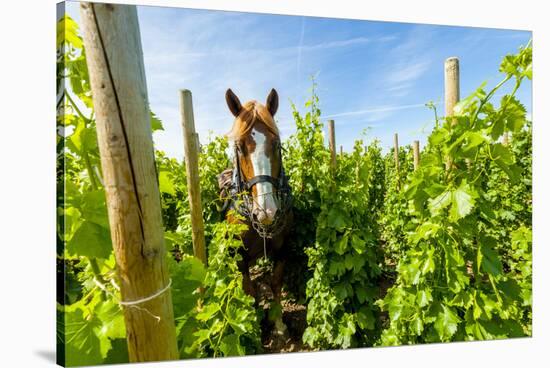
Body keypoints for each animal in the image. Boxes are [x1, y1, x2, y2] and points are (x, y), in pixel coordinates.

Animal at [219, 87, 294, 340]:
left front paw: (279, 324)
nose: (267, 211)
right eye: (239, 146)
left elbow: (276, 282)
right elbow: (249, 290)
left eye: (277, 143)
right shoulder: (240, 256)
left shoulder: (282, 249)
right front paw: (254, 327)